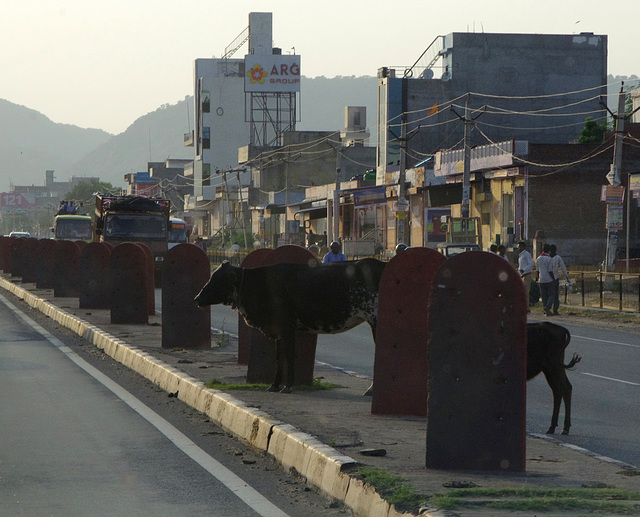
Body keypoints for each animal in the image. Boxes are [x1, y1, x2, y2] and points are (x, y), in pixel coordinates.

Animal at [194, 258, 384, 392]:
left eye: (217, 279)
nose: (197, 298)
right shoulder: (278, 331)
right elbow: (279, 357)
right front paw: (274, 385)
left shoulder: (287, 328)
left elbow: (289, 355)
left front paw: (288, 385)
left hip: (375, 322)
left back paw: (372, 389)